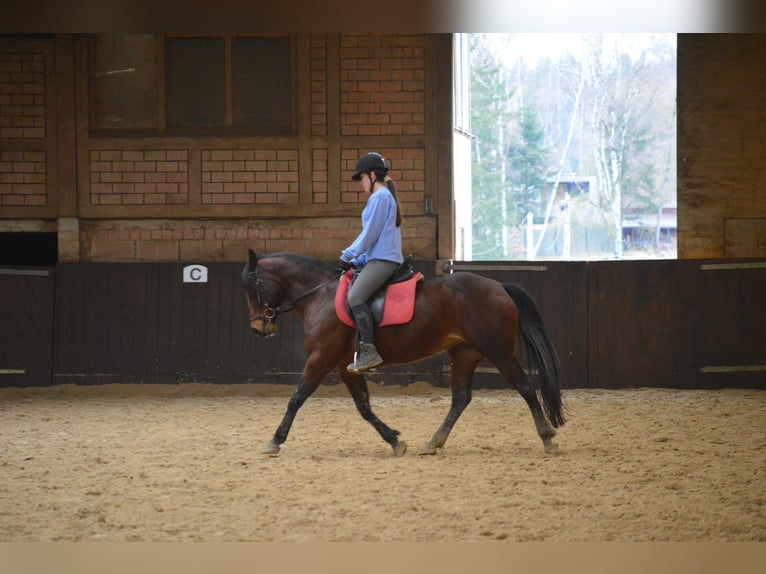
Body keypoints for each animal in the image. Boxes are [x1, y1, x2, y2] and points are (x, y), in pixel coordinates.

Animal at [243, 251, 568, 460]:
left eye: (253, 288)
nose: (258, 328)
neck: (318, 296)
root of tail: (499, 286)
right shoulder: (345, 366)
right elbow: (364, 407)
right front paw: (394, 441)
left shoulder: (321, 359)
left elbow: (296, 398)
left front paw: (274, 441)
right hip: (465, 353)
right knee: (461, 398)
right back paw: (432, 443)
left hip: (497, 351)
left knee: (525, 386)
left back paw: (547, 438)